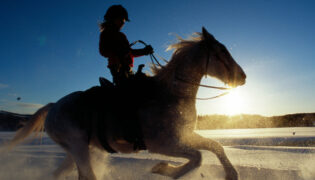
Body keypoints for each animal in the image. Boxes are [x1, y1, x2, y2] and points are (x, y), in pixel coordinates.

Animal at [5, 27, 247, 180]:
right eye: (222, 51)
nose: (243, 77)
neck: (171, 94)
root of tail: (54, 105)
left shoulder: (183, 136)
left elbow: (214, 146)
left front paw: (232, 174)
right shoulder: (164, 144)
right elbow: (197, 157)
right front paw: (163, 169)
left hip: (75, 152)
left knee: (59, 174)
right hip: (79, 148)